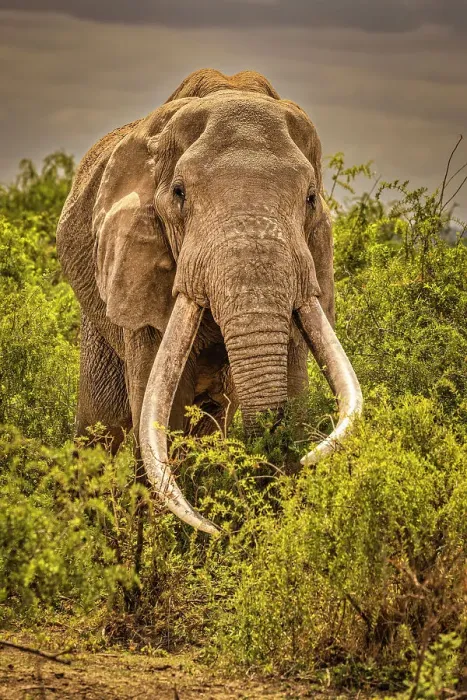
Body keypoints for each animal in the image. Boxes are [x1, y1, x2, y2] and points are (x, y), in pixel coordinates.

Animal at [56, 68, 362, 536]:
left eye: (311, 198)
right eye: (179, 194)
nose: (223, 529)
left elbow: (292, 390)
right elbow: (160, 417)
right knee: (101, 429)